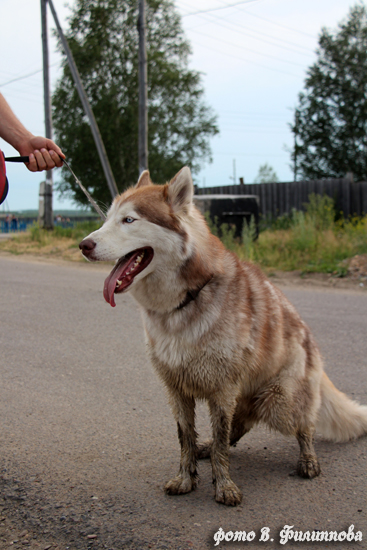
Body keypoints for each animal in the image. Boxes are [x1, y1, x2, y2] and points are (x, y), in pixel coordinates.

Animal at [80, 169, 367, 508]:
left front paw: (225, 487)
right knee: (241, 423)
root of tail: (311, 341)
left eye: (129, 220)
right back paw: (207, 448)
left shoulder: (222, 390)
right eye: (108, 218)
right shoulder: (177, 390)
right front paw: (186, 478)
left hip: (278, 402)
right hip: (248, 397)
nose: (83, 245)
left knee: (303, 425)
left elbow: (220, 440)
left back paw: (308, 460)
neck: (185, 300)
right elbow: (186, 438)